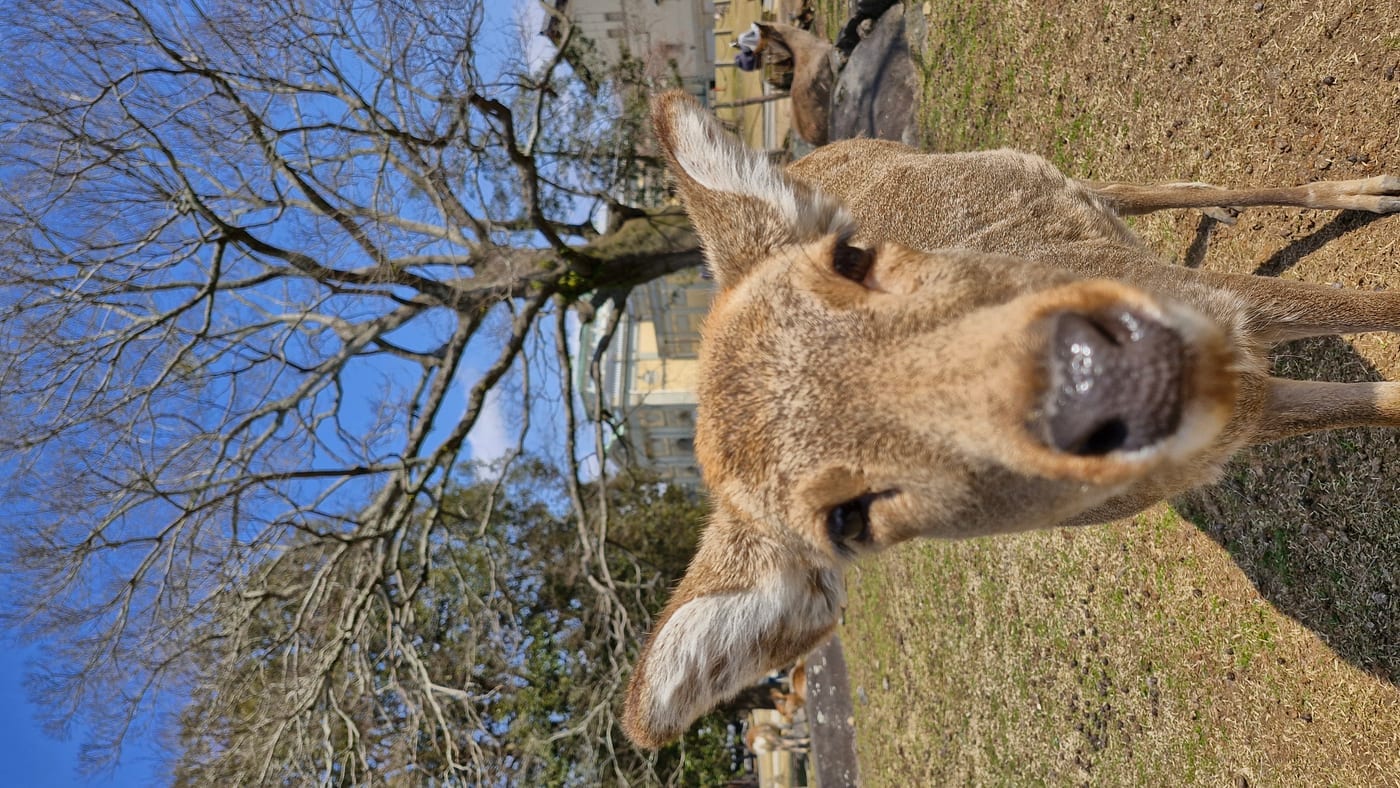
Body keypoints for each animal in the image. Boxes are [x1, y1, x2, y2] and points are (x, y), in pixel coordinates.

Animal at [622, 90, 1400, 749]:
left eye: (852, 256)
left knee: (1157, 191)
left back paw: (1361, 192)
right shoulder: (1245, 411)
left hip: (1032, 171)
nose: (1107, 376)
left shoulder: (1223, 308)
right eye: (847, 521)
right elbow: (1373, 399)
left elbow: (1371, 309)